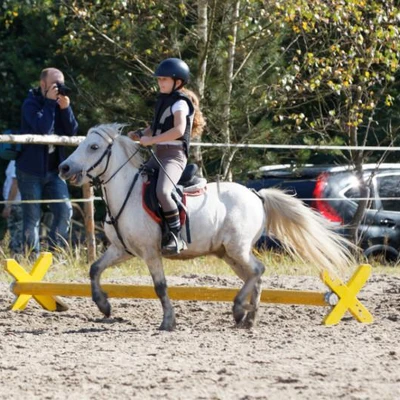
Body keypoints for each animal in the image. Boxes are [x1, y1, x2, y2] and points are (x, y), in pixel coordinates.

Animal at [57, 125, 352, 332]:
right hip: (228, 254)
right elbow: (94, 269)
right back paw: (248, 317)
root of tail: (256, 194)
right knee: (253, 276)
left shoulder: (150, 253)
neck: (125, 193)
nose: (64, 167)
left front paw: (168, 322)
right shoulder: (122, 250)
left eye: (94, 146)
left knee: (258, 271)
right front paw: (104, 305)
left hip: (236, 248)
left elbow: (160, 287)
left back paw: (240, 311)